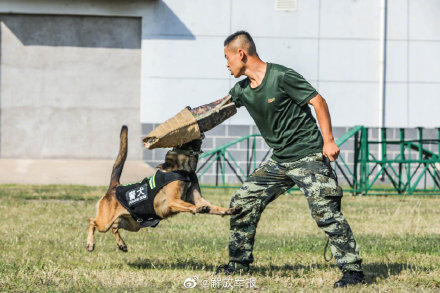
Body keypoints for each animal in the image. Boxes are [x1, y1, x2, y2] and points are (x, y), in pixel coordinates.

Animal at [86, 125, 241, 251]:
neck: (185, 168)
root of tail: (114, 187)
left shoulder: (199, 199)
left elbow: (215, 208)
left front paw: (230, 210)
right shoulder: (174, 201)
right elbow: (190, 205)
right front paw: (198, 209)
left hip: (133, 225)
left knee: (115, 226)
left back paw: (121, 245)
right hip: (104, 223)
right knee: (92, 221)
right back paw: (90, 244)